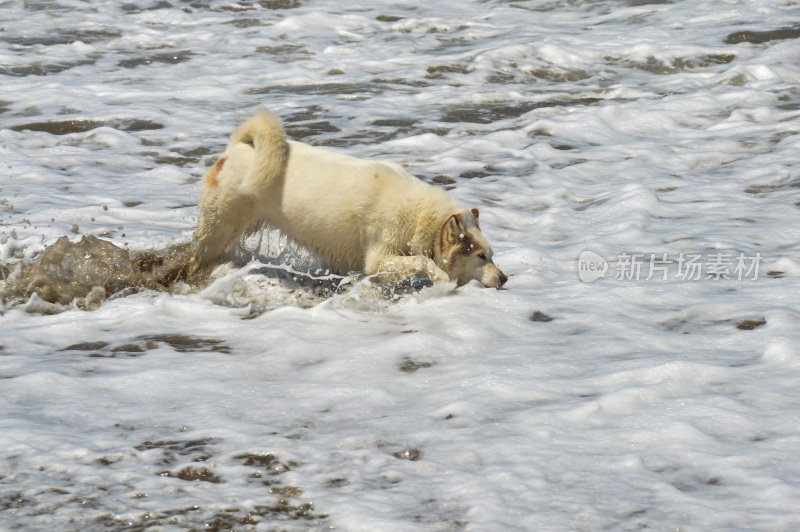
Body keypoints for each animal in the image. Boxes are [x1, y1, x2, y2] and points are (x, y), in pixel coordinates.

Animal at [189, 109, 506, 288]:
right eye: (481, 256)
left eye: (491, 255)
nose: (504, 278)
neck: (420, 217)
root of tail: (236, 149)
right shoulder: (380, 257)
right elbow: (420, 262)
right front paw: (437, 276)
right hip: (218, 230)